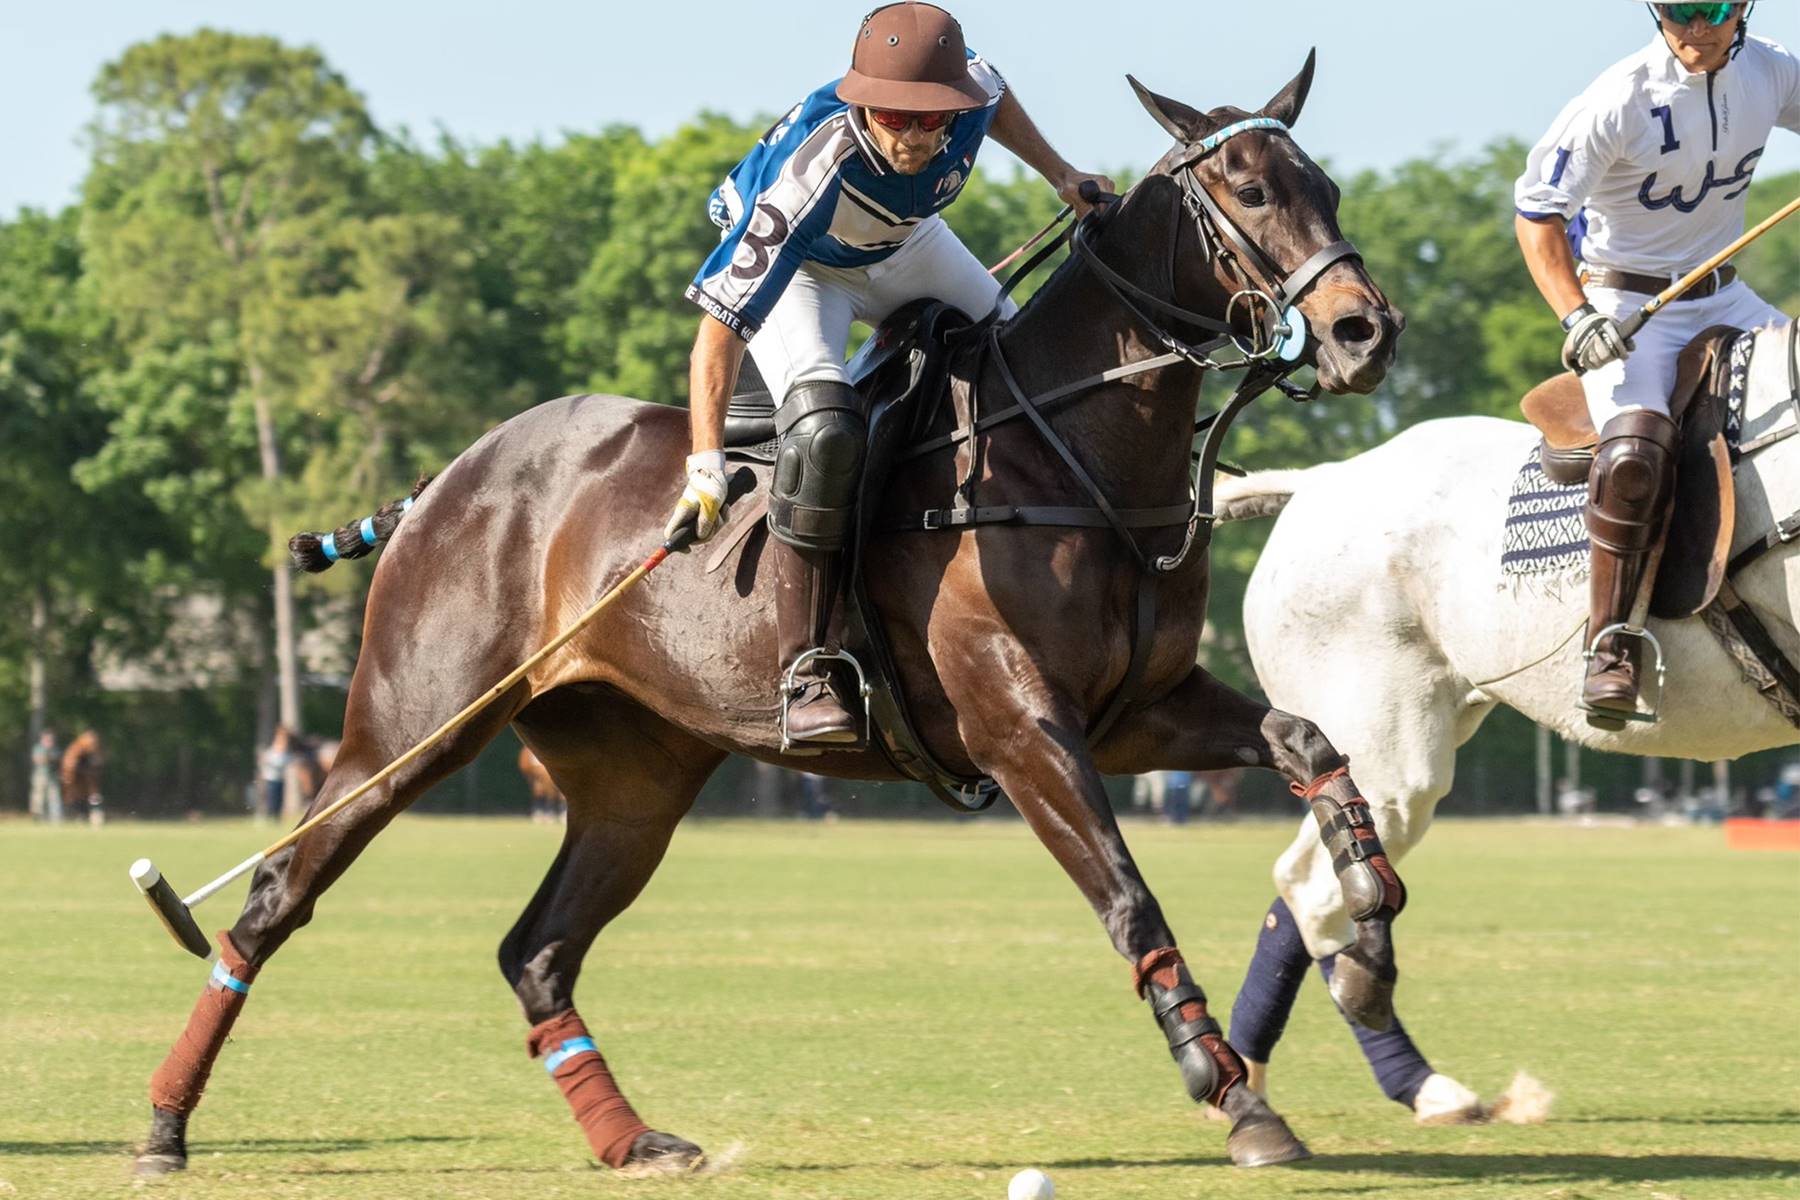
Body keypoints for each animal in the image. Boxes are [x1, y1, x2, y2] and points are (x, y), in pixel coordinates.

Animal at [136, 53, 1404, 1173]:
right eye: (1250, 189)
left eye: (1330, 190)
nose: (1365, 332)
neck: (1076, 448)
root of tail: (444, 478)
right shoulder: (1020, 725)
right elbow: (1129, 896)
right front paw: (1233, 1092)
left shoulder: (1140, 709)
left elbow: (1306, 740)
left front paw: (1368, 914)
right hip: (411, 725)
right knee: (270, 901)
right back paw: (163, 1125)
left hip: (634, 777)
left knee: (536, 951)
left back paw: (634, 1142)